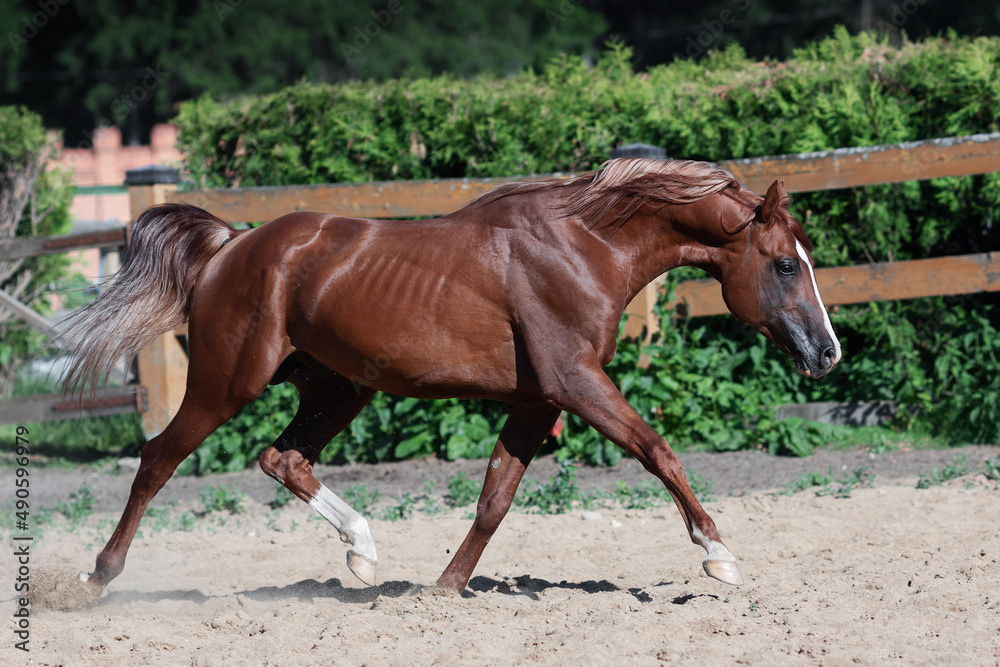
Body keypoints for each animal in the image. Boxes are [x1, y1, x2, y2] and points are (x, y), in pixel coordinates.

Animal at [58, 157, 840, 604]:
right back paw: (96, 578)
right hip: (227, 384)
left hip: (338, 388)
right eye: (784, 264)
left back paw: (364, 554)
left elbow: (495, 500)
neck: (587, 244)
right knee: (158, 459)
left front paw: (443, 588)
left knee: (283, 458)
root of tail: (231, 245)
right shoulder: (576, 381)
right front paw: (720, 556)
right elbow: (658, 451)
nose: (827, 352)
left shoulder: (536, 401)